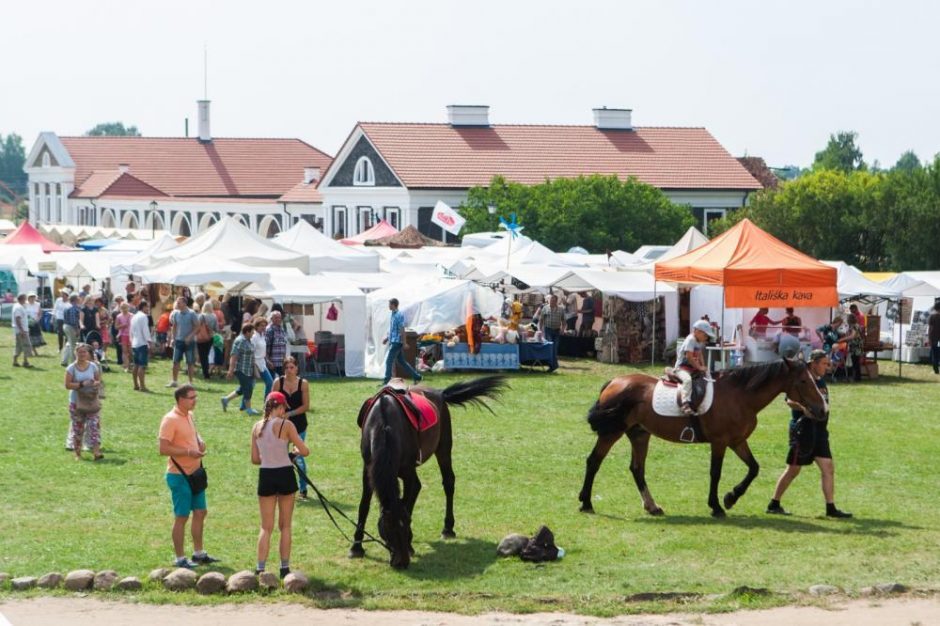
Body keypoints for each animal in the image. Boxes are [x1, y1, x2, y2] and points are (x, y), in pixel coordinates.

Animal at [348, 372, 506, 568]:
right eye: (388, 529)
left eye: (405, 525)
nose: (401, 562)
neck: (384, 425)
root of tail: (440, 393)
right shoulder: (368, 469)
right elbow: (364, 505)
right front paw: (356, 547)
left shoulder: (408, 471)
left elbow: (408, 503)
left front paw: (409, 544)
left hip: (443, 447)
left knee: (448, 482)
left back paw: (448, 528)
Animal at [576, 358, 828, 516]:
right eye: (804, 381)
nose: (822, 409)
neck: (740, 395)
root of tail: (614, 381)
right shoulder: (720, 442)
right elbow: (715, 473)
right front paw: (717, 505)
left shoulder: (737, 441)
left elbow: (754, 468)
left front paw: (731, 497)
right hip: (611, 433)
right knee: (594, 462)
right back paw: (586, 502)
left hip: (639, 434)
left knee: (637, 469)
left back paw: (652, 506)